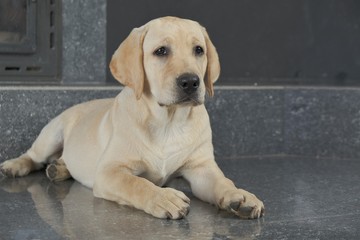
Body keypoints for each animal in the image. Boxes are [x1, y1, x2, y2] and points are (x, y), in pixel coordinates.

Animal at [0, 16, 264, 219]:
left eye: (199, 50)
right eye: (161, 51)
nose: (190, 82)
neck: (168, 121)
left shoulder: (201, 168)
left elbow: (222, 181)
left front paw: (239, 196)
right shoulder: (110, 172)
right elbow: (137, 183)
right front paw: (162, 198)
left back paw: (60, 168)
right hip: (51, 135)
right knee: (33, 156)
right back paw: (15, 165)